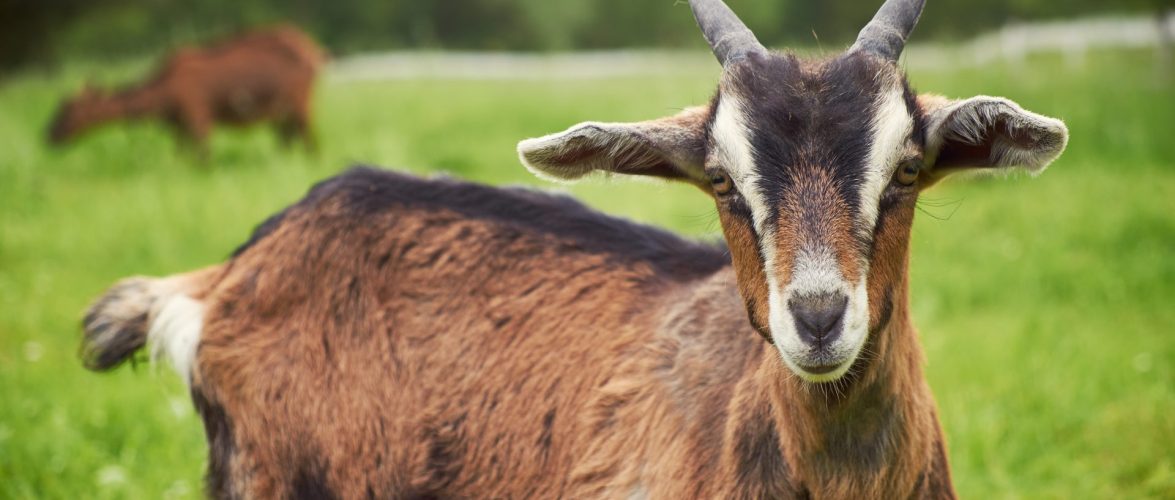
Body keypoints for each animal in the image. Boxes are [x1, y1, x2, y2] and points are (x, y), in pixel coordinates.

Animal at [48, 24, 325, 157]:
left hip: (301, 103)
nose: (48, 135)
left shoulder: (197, 117)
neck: (162, 93)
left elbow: (203, 157)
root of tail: (313, 50)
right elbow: (182, 156)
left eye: (68, 109)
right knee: (287, 139)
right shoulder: (179, 126)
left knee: (309, 141)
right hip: (282, 110)